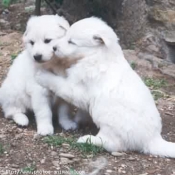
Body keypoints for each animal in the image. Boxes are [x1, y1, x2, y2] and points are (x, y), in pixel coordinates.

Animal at [36, 17, 175, 157]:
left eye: (71, 41)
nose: (54, 48)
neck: (96, 55)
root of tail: (152, 139)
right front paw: (78, 119)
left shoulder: (77, 90)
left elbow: (58, 83)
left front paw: (42, 75)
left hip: (107, 117)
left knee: (112, 144)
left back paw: (88, 139)